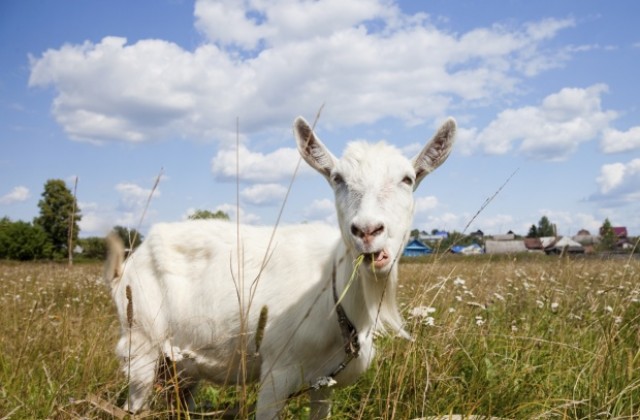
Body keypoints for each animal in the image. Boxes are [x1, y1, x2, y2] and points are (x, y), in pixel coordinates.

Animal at [105, 115, 456, 416]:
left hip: (181, 365)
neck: (332, 291)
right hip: (141, 341)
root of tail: (132, 260)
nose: (367, 231)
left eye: (407, 179)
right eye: (337, 178)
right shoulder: (276, 373)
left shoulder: (324, 382)